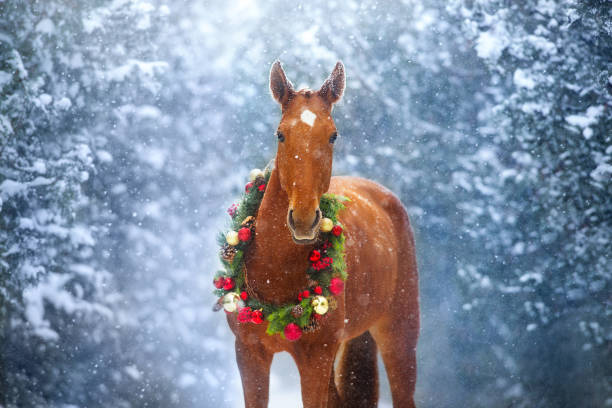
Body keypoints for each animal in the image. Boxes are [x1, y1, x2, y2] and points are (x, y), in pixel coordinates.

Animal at [228, 61, 420, 408]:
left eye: (333, 135)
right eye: (280, 134)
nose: (304, 219)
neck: (274, 272)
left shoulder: (315, 358)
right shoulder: (249, 354)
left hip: (399, 336)